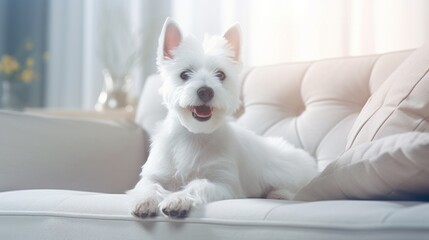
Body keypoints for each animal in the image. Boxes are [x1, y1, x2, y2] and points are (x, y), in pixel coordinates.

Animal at [128, 17, 318, 218]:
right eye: (184, 74)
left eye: (220, 74)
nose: (205, 91)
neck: (194, 134)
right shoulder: (155, 174)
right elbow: (149, 186)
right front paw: (145, 201)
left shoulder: (224, 183)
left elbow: (196, 185)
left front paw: (178, 199)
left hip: (286, 170)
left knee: (296, 187)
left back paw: (279, 193)